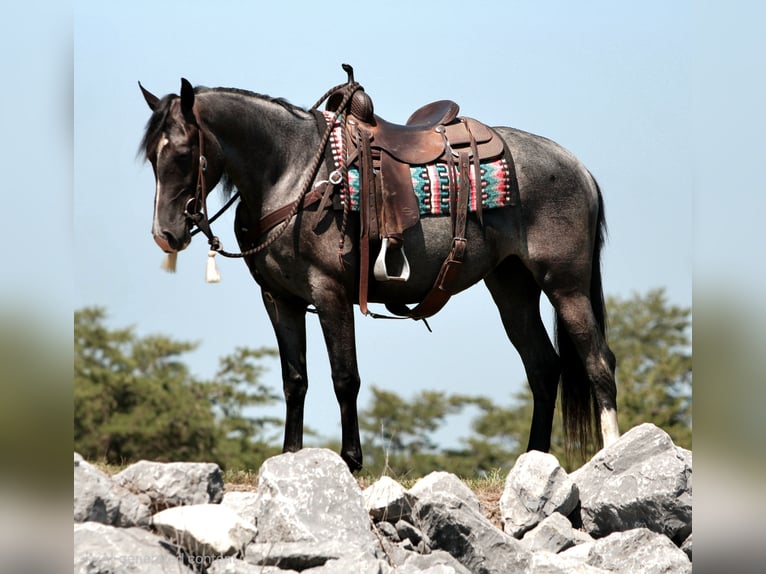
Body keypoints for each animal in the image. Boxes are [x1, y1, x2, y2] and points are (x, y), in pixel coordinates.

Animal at [139, 73, 619, 471]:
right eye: (151, 158)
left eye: (184, 153)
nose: (165, 233)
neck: (292, 173)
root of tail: (577, 166)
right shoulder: (280, 299)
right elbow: (295, 379)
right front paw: (290, 456)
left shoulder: (329, 294)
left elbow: (344, 377)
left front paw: (351, 460)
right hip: (512, 288)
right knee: (543, 367)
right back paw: (534, 458)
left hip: (566, 286)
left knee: (598, 361)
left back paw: (612, 454)